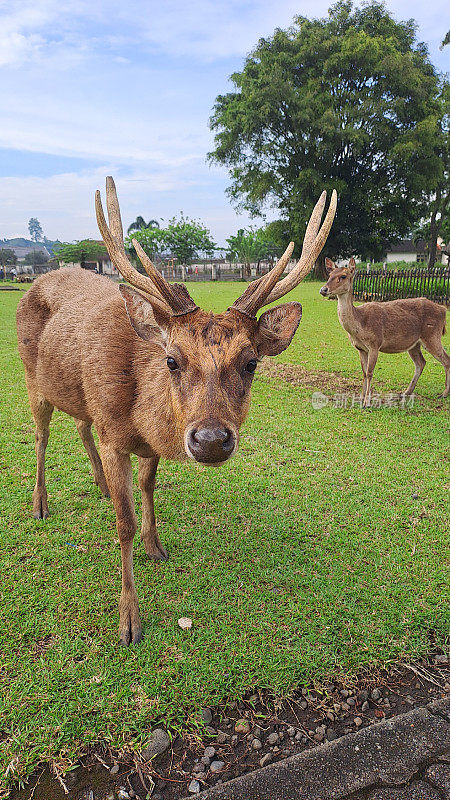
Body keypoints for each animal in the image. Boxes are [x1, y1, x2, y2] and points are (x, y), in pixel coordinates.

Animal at [16, 178, 334, 648]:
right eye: (171, 360)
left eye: (251, 362)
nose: (211, 439)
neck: (139, 419)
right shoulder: (114, 434)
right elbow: (124, 524)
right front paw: (130, 620)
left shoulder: (145, 445)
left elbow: (148, 486)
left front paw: (157, 546)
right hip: (32, 378)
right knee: (41, 435)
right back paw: (40, 504)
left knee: (79, 423)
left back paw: (100, 484)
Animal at [318, 258, 448, 406]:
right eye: (330, 275)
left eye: (343, 276)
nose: (323, 289)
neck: (359, 327)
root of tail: (444, 310)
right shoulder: (360, 348)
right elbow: (364, 372)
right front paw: (360, 398)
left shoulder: (375, 344)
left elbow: (370, 372)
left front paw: (367, 402)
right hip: (415, 344)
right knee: (421, 363)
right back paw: (406, 392)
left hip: (432, 335)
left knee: (446, 360)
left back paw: (443, 394)